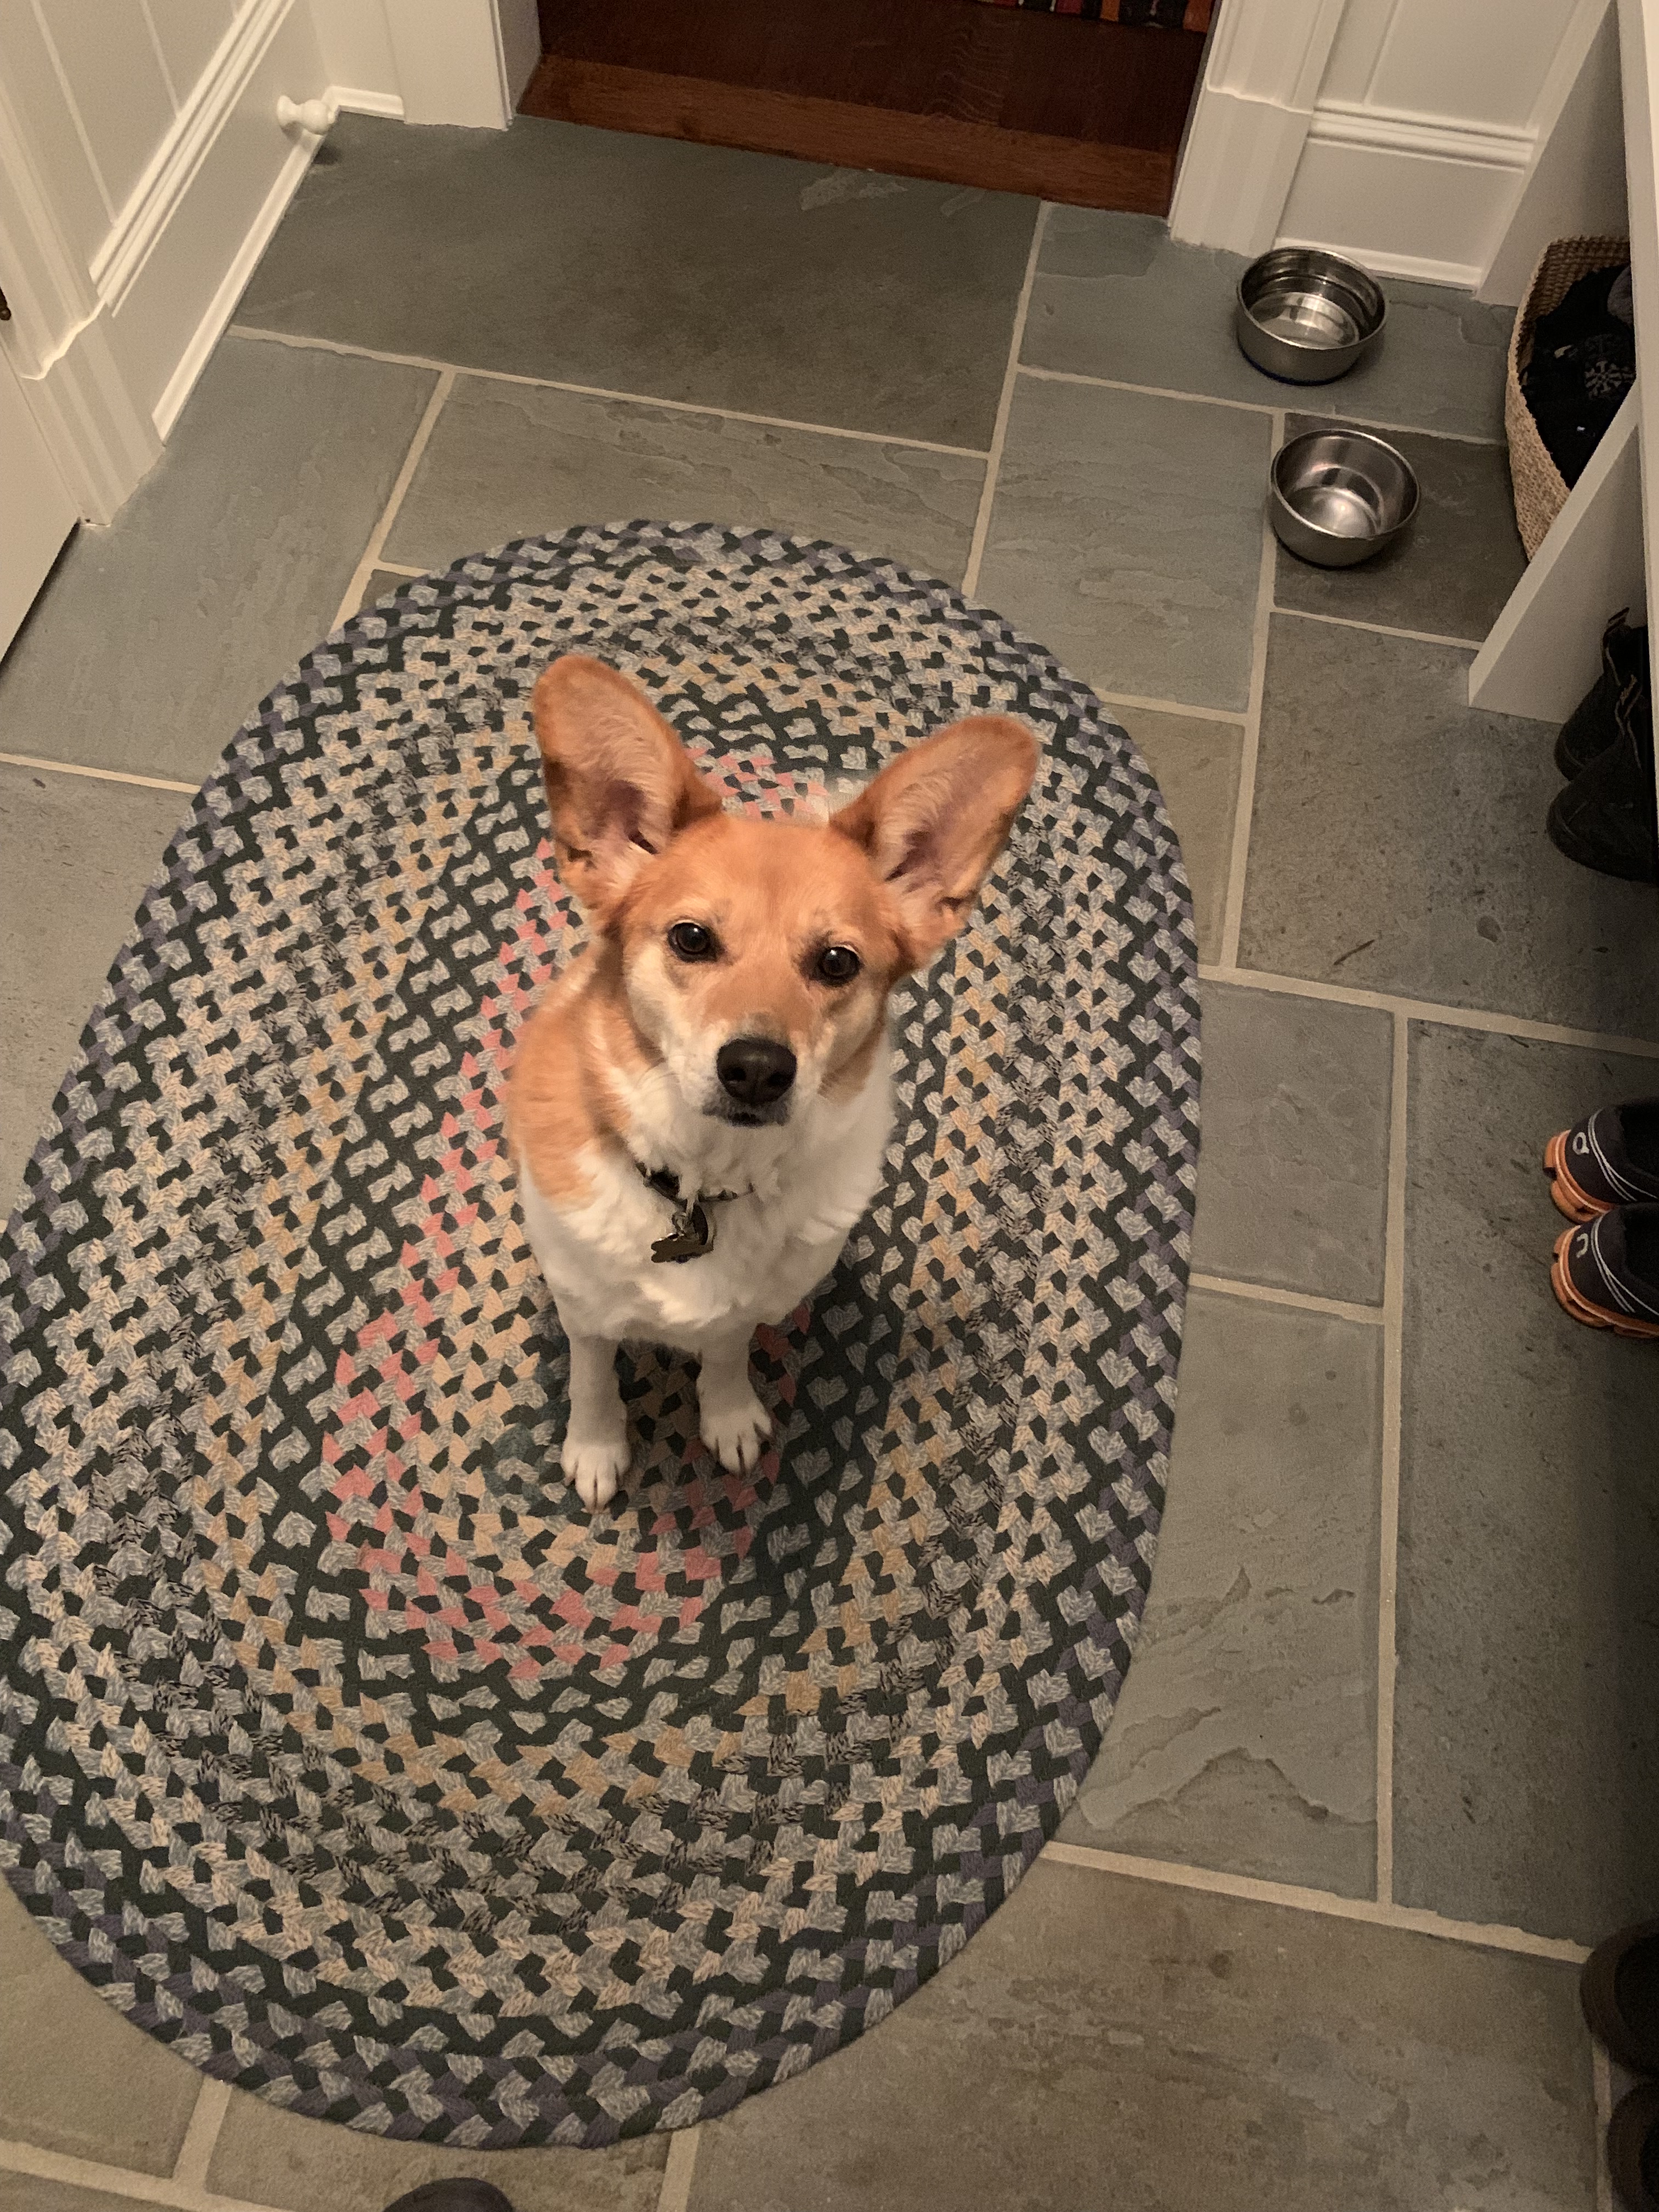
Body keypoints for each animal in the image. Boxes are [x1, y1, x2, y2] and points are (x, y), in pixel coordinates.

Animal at [508, 655, 1037, 1507]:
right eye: (691, 939)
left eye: (837, 962)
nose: (756, 1068)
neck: (702, 1188)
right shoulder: (583, 1305)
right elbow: (593, 1374)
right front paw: (594, 1446)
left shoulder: (740, 1313)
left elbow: (725, 1352)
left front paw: (726, 1416)